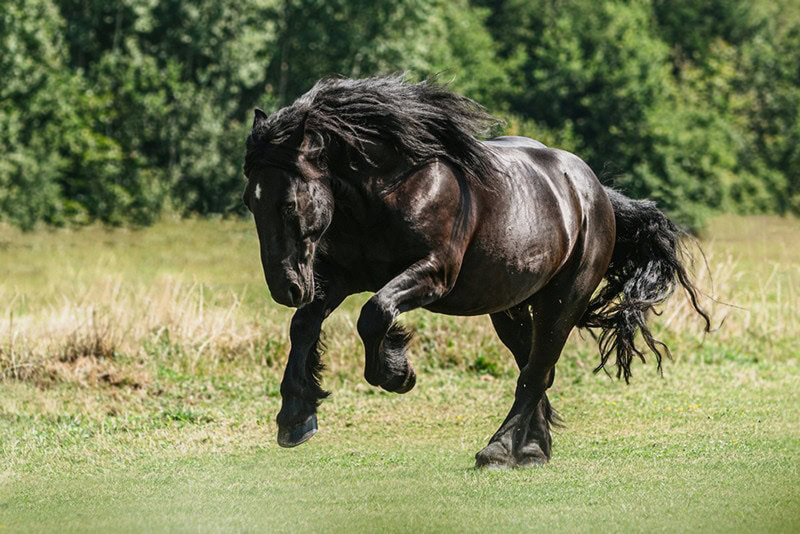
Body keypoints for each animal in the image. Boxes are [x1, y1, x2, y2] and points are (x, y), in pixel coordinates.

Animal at [243, 75, 710, 468]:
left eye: (288, 203)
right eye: (250, 201)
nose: (285, 287)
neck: (387, 192)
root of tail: (593, 191)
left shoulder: (433, 274)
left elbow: (374, 314)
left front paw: (397, 373)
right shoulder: (340, 276)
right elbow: (304, 325)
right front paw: (295, 416)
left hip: (562, 302)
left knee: (536, 370)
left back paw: (500, 449)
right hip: (510, 308)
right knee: (536, 368)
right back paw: (532, 449)